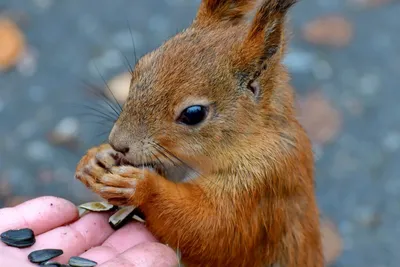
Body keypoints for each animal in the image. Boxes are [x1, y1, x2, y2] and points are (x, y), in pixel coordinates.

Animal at [75, 1, 324, 266]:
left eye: (194, 113)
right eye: (140, 65)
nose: (118, 143)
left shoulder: (264, 182)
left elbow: (213, 230)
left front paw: (140, 186)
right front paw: (96, 160)